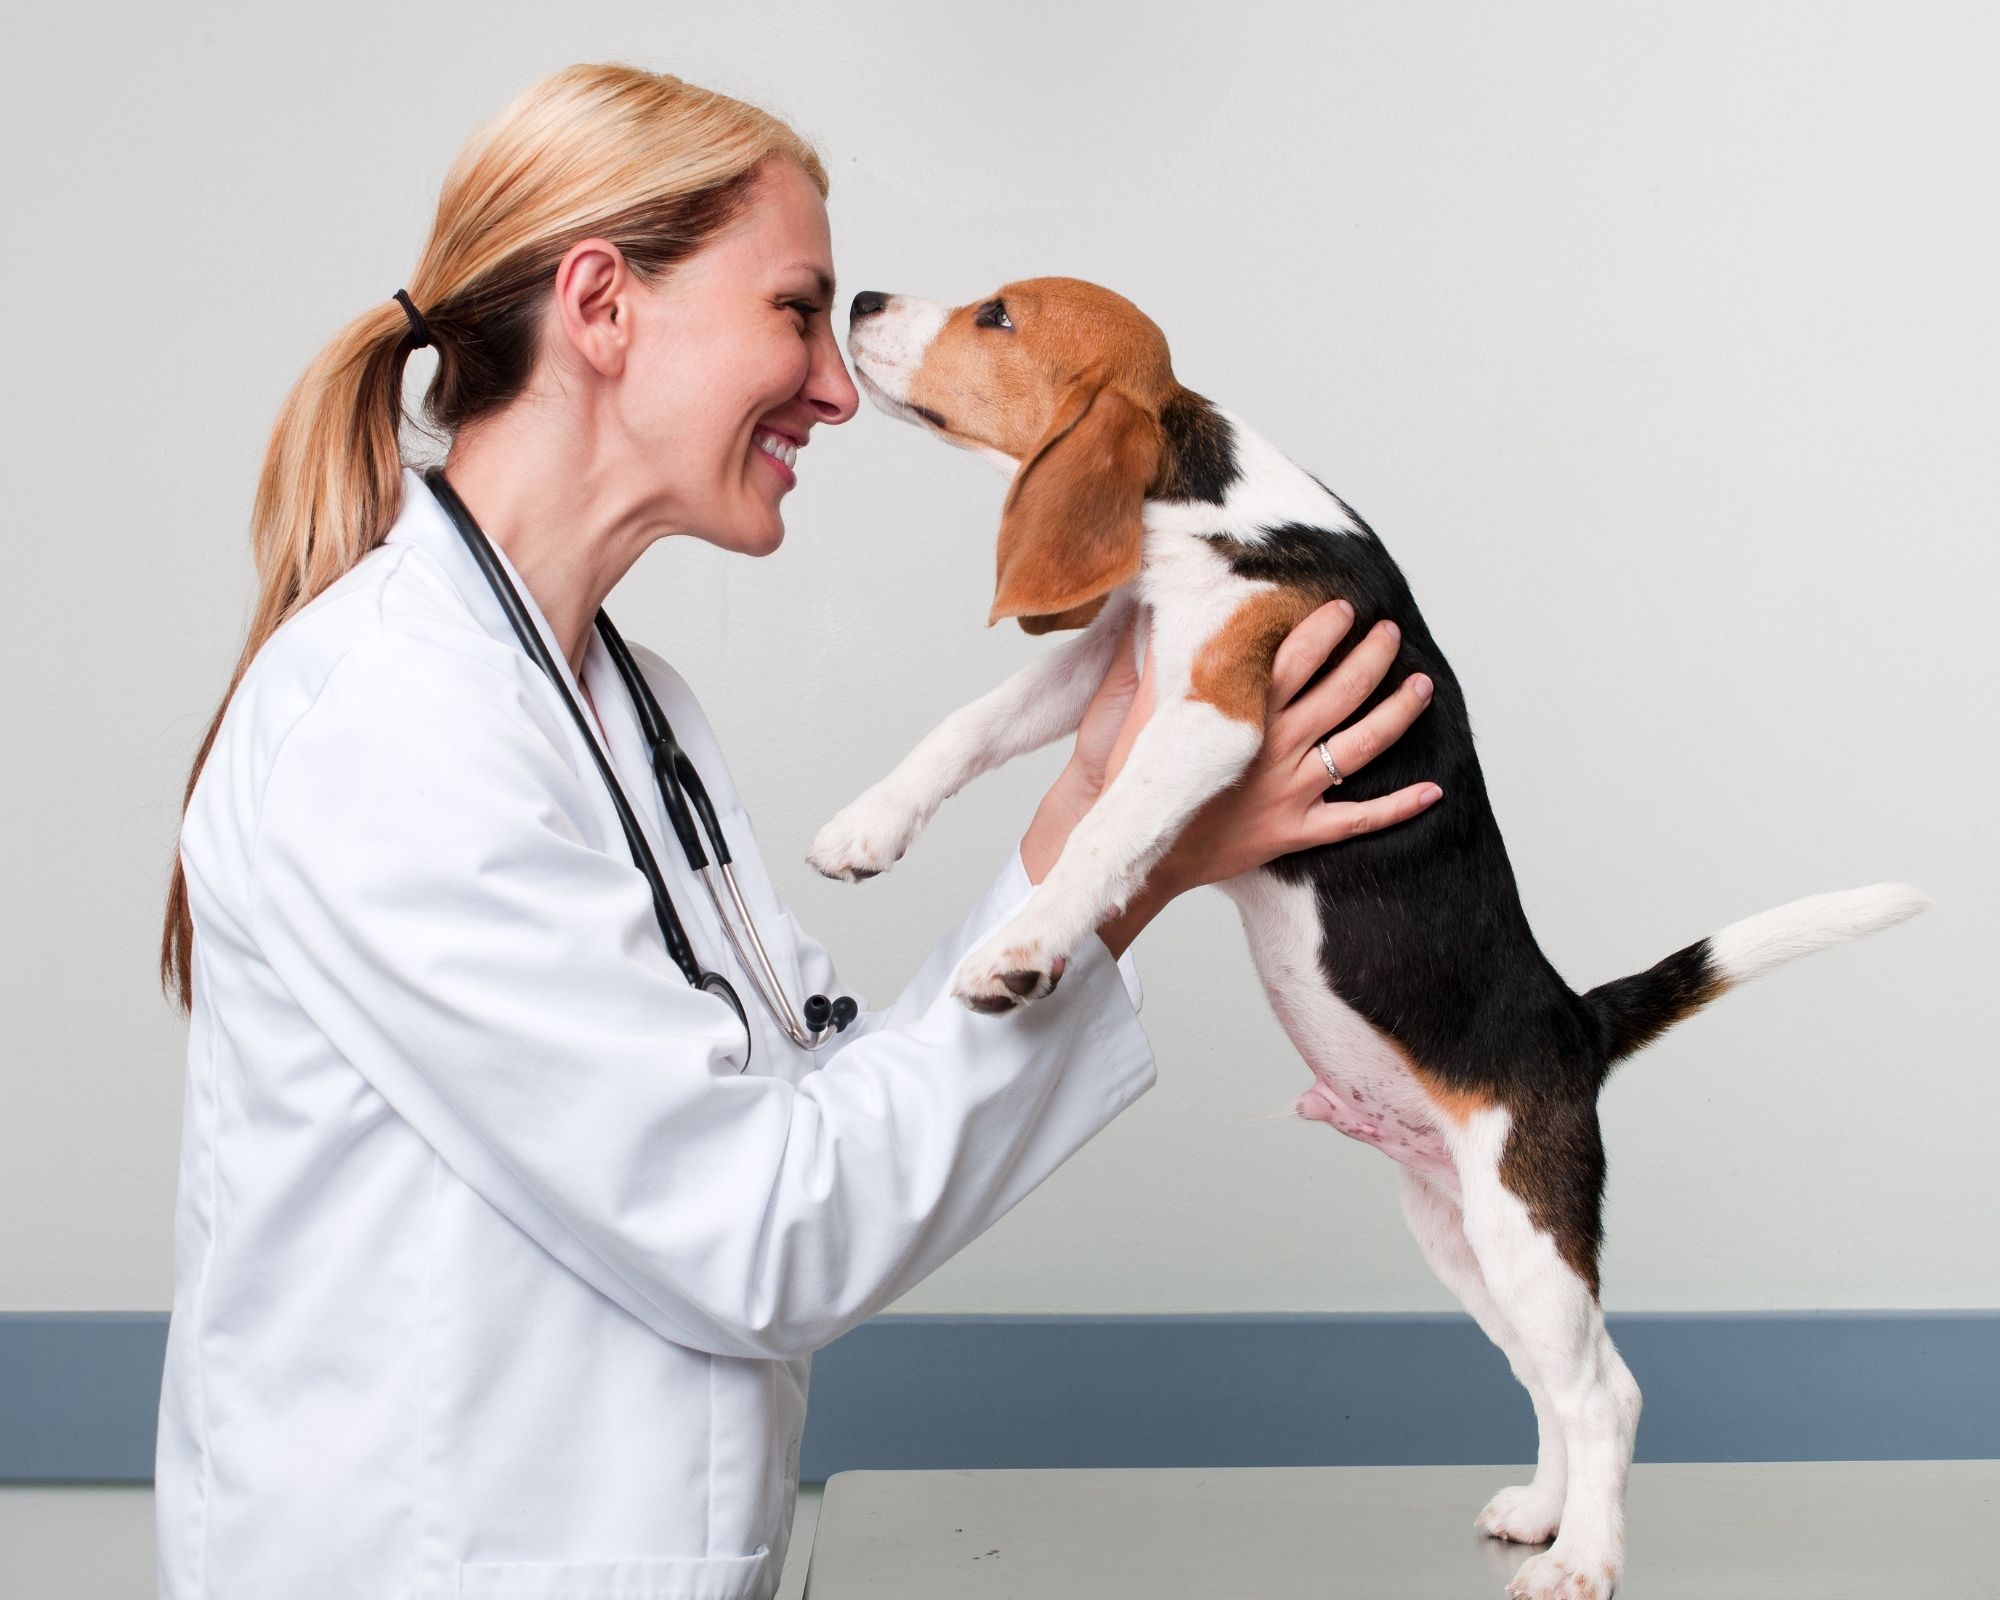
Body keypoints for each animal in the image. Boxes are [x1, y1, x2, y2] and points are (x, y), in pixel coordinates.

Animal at [804, 278, 1928, 1600]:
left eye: (996, 317)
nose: (862, 295)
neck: (1201, 505)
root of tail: (1573, 1021)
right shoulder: (1108, 656)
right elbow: (967, 725)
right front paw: (865, 827)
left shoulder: (1210, 713)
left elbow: (1098, 836)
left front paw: (1020, 950)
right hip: (1461, 1235)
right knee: (1556, 1382)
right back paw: (1544, 1513)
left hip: (1523, 1225)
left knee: (1604, 1394)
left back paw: (1583, 1559)